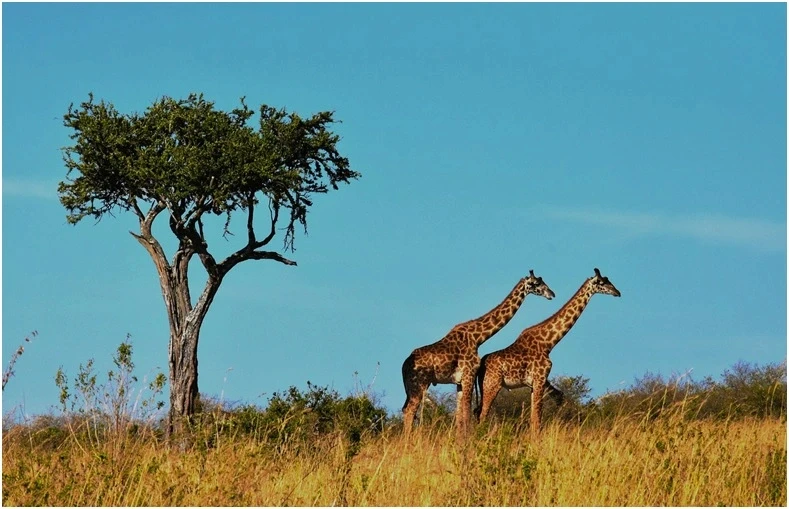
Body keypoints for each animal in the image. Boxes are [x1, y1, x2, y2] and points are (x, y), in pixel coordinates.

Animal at [401, 270, 555, 435]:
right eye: (537, 283)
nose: (552, 294)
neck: (478, 338)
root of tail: (404, 366)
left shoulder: (460, 381)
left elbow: (460, 415)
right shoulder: (469, 374)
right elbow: (467, 412)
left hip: (411, 387)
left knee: (405, 409)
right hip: (420, 384)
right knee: (410, 410)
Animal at [475, 268, 621, 433]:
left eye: (609, 279)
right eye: (602, 282)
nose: (617, 292)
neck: (548, 343)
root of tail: (481, 366)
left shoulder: (538, 383)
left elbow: (539, 414)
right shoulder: (540, 379)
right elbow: (537, 419)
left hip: (484, 386)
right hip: (492, 384)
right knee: (482, 414)